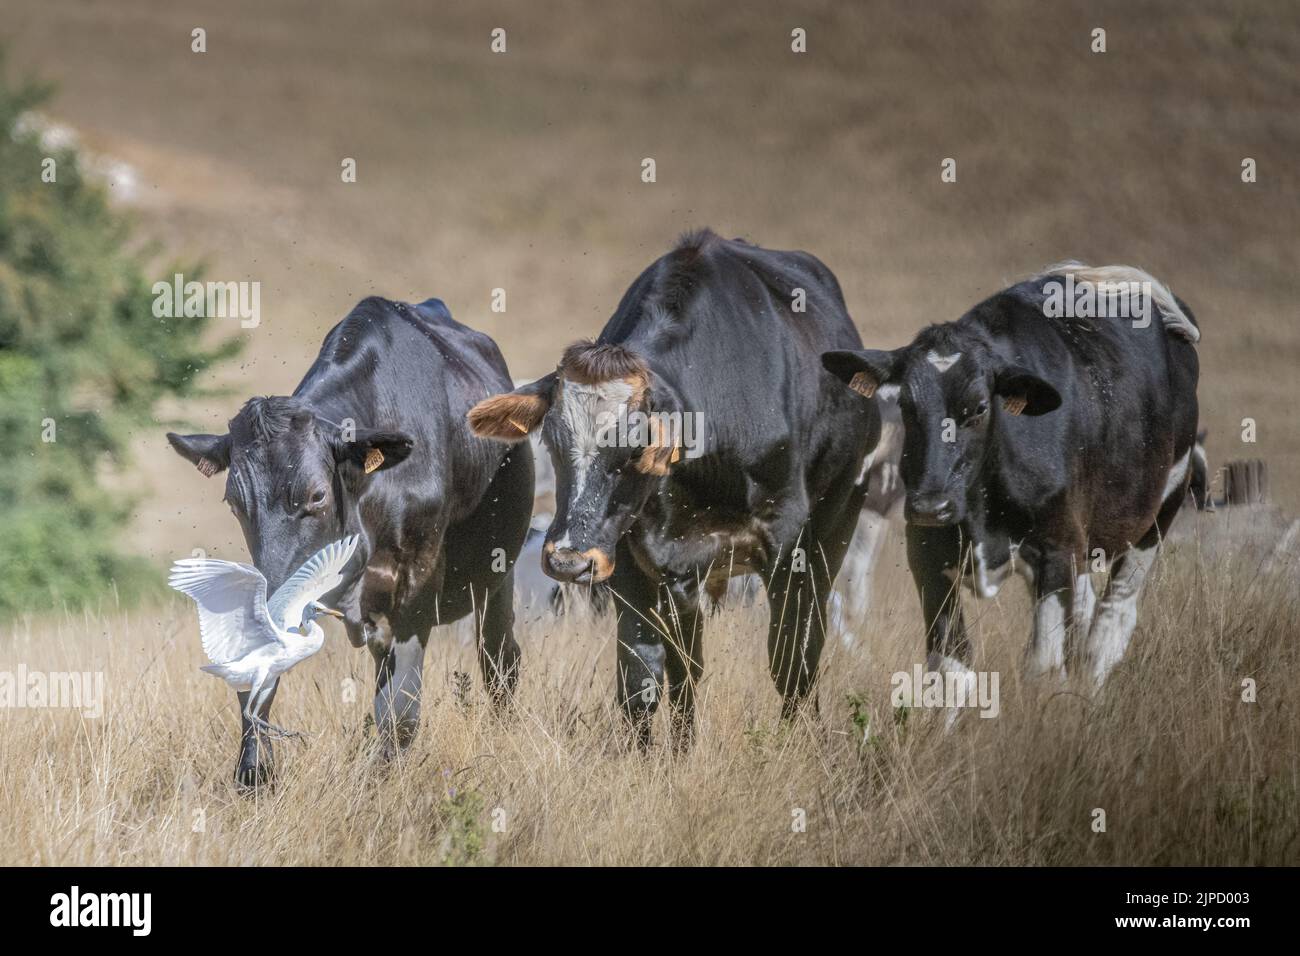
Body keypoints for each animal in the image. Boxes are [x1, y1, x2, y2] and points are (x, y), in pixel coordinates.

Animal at [462, 231, 878, 749]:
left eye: (634, 450)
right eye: (553, 443)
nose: (567, 561)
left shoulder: (786, 548)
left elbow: (787, 659)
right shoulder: (635, 560)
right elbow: (645, 673)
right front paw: (660, 755)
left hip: (835, 525)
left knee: (807, 642)